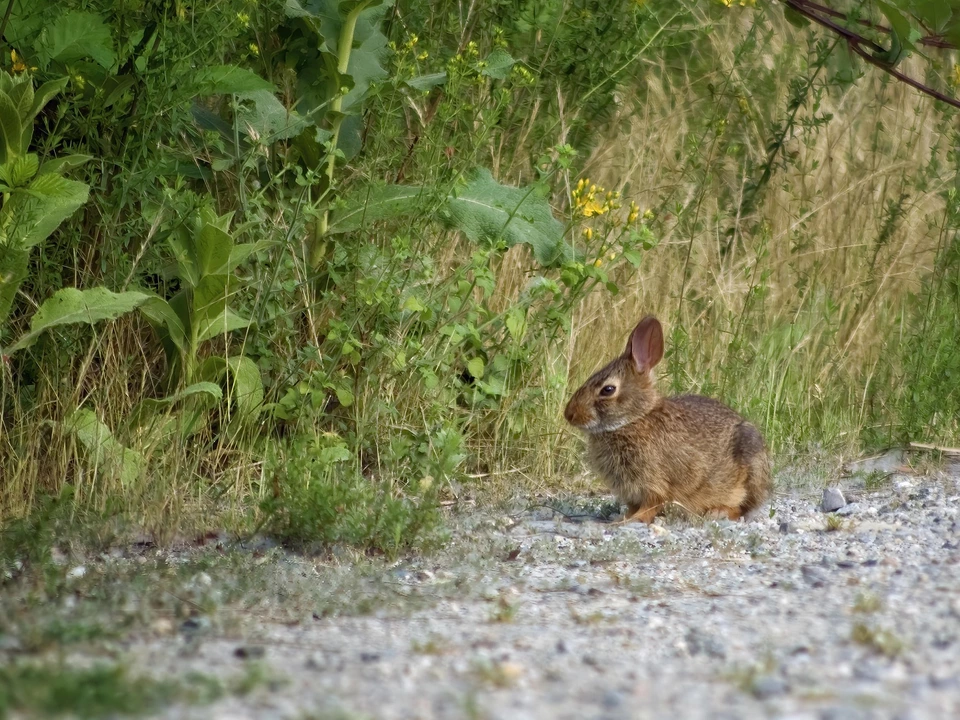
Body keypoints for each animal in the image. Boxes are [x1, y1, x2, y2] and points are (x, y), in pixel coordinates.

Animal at [563, 315, 771, 523]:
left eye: (608, 390)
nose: (569, 414)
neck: (634, 419)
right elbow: (633, 507)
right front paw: (622, 518)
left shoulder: (655, 483)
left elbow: (651, 505)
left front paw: (632, 520)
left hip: (751, 465)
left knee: (742, 508)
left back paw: (718, 512)